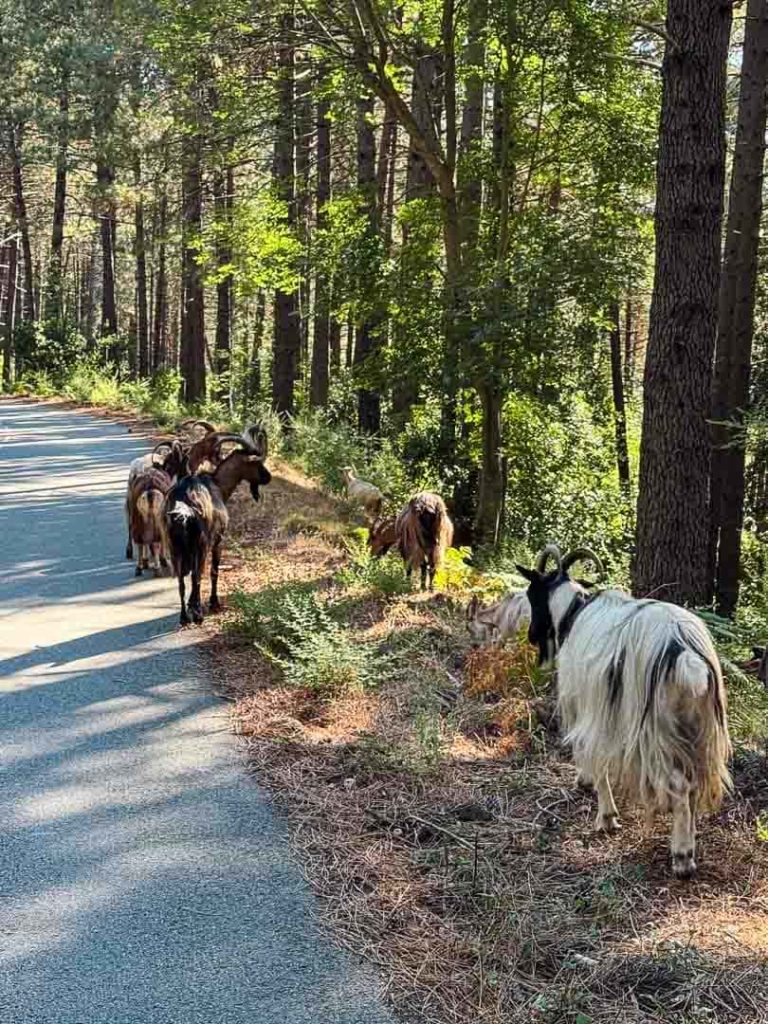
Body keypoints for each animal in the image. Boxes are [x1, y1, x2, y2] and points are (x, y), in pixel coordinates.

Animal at [163, 425, 271, 625]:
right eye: (256, 463)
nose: (269, 477)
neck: (219, 485)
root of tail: (184, 506)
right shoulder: (218, 540)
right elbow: (213, 571)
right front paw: (214, 603)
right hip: (201, 542)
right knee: (197, 575)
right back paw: (197, 613)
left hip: (175, 544)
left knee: (181, 579)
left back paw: (184, 616)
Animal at [517, 544, 731, 879]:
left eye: (531, 592)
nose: (531, 635)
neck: (574, 612)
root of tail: (685, 655)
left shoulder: (589, 706)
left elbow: (591, 752)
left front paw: (604, 813)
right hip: (699, 728)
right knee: (695, 782)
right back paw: (690, 841)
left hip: (655, 732)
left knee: (679, 785)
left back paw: (682, 857)